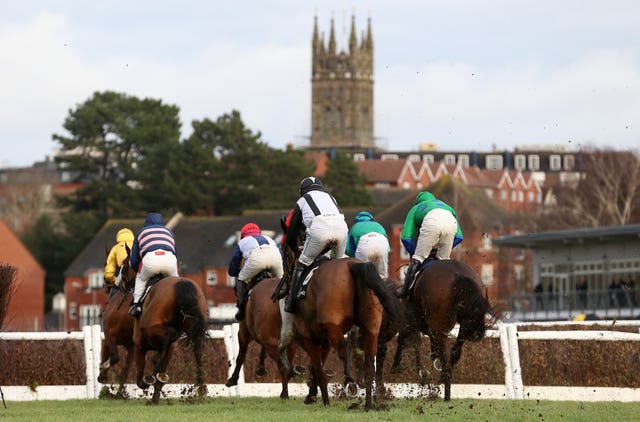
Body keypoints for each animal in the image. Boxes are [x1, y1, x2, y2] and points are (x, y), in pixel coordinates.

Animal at [97, 246, 138, 394]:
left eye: (105, 263)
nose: (104, 285)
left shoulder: (108, 334)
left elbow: (107, 354)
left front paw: (102, 373)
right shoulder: (131, 345)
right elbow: (125, 370)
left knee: (114, 357)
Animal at [132, 276, 208, 404]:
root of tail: (183, 283)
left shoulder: (139, 346)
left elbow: (140, 380)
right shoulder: (170, 348)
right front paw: (155, 397)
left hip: (150, 326)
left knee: (170, 333)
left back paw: (154, 374)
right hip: (195, 324)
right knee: (197, 351)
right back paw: (200, 388)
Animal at [278, 244, 402, 408]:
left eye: (285, 264)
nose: (279, 291)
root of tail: (352, 264)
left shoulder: (309, 337)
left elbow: (318, 368)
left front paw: (322, 399)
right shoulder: (324, 340)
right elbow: (317, 366)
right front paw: (312, 394)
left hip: (333, 326)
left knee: (343, 348)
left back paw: (350, 380)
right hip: (371, 327)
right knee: (369, 363)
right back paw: (368, 405)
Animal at [408, 258, 492, 400]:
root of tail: (458, 274)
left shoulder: (414, 323)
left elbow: (416, 344)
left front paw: (423, 374)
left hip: (439, 324)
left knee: (443, 354)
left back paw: (443, 386)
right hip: (465, 325)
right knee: (454, 352)